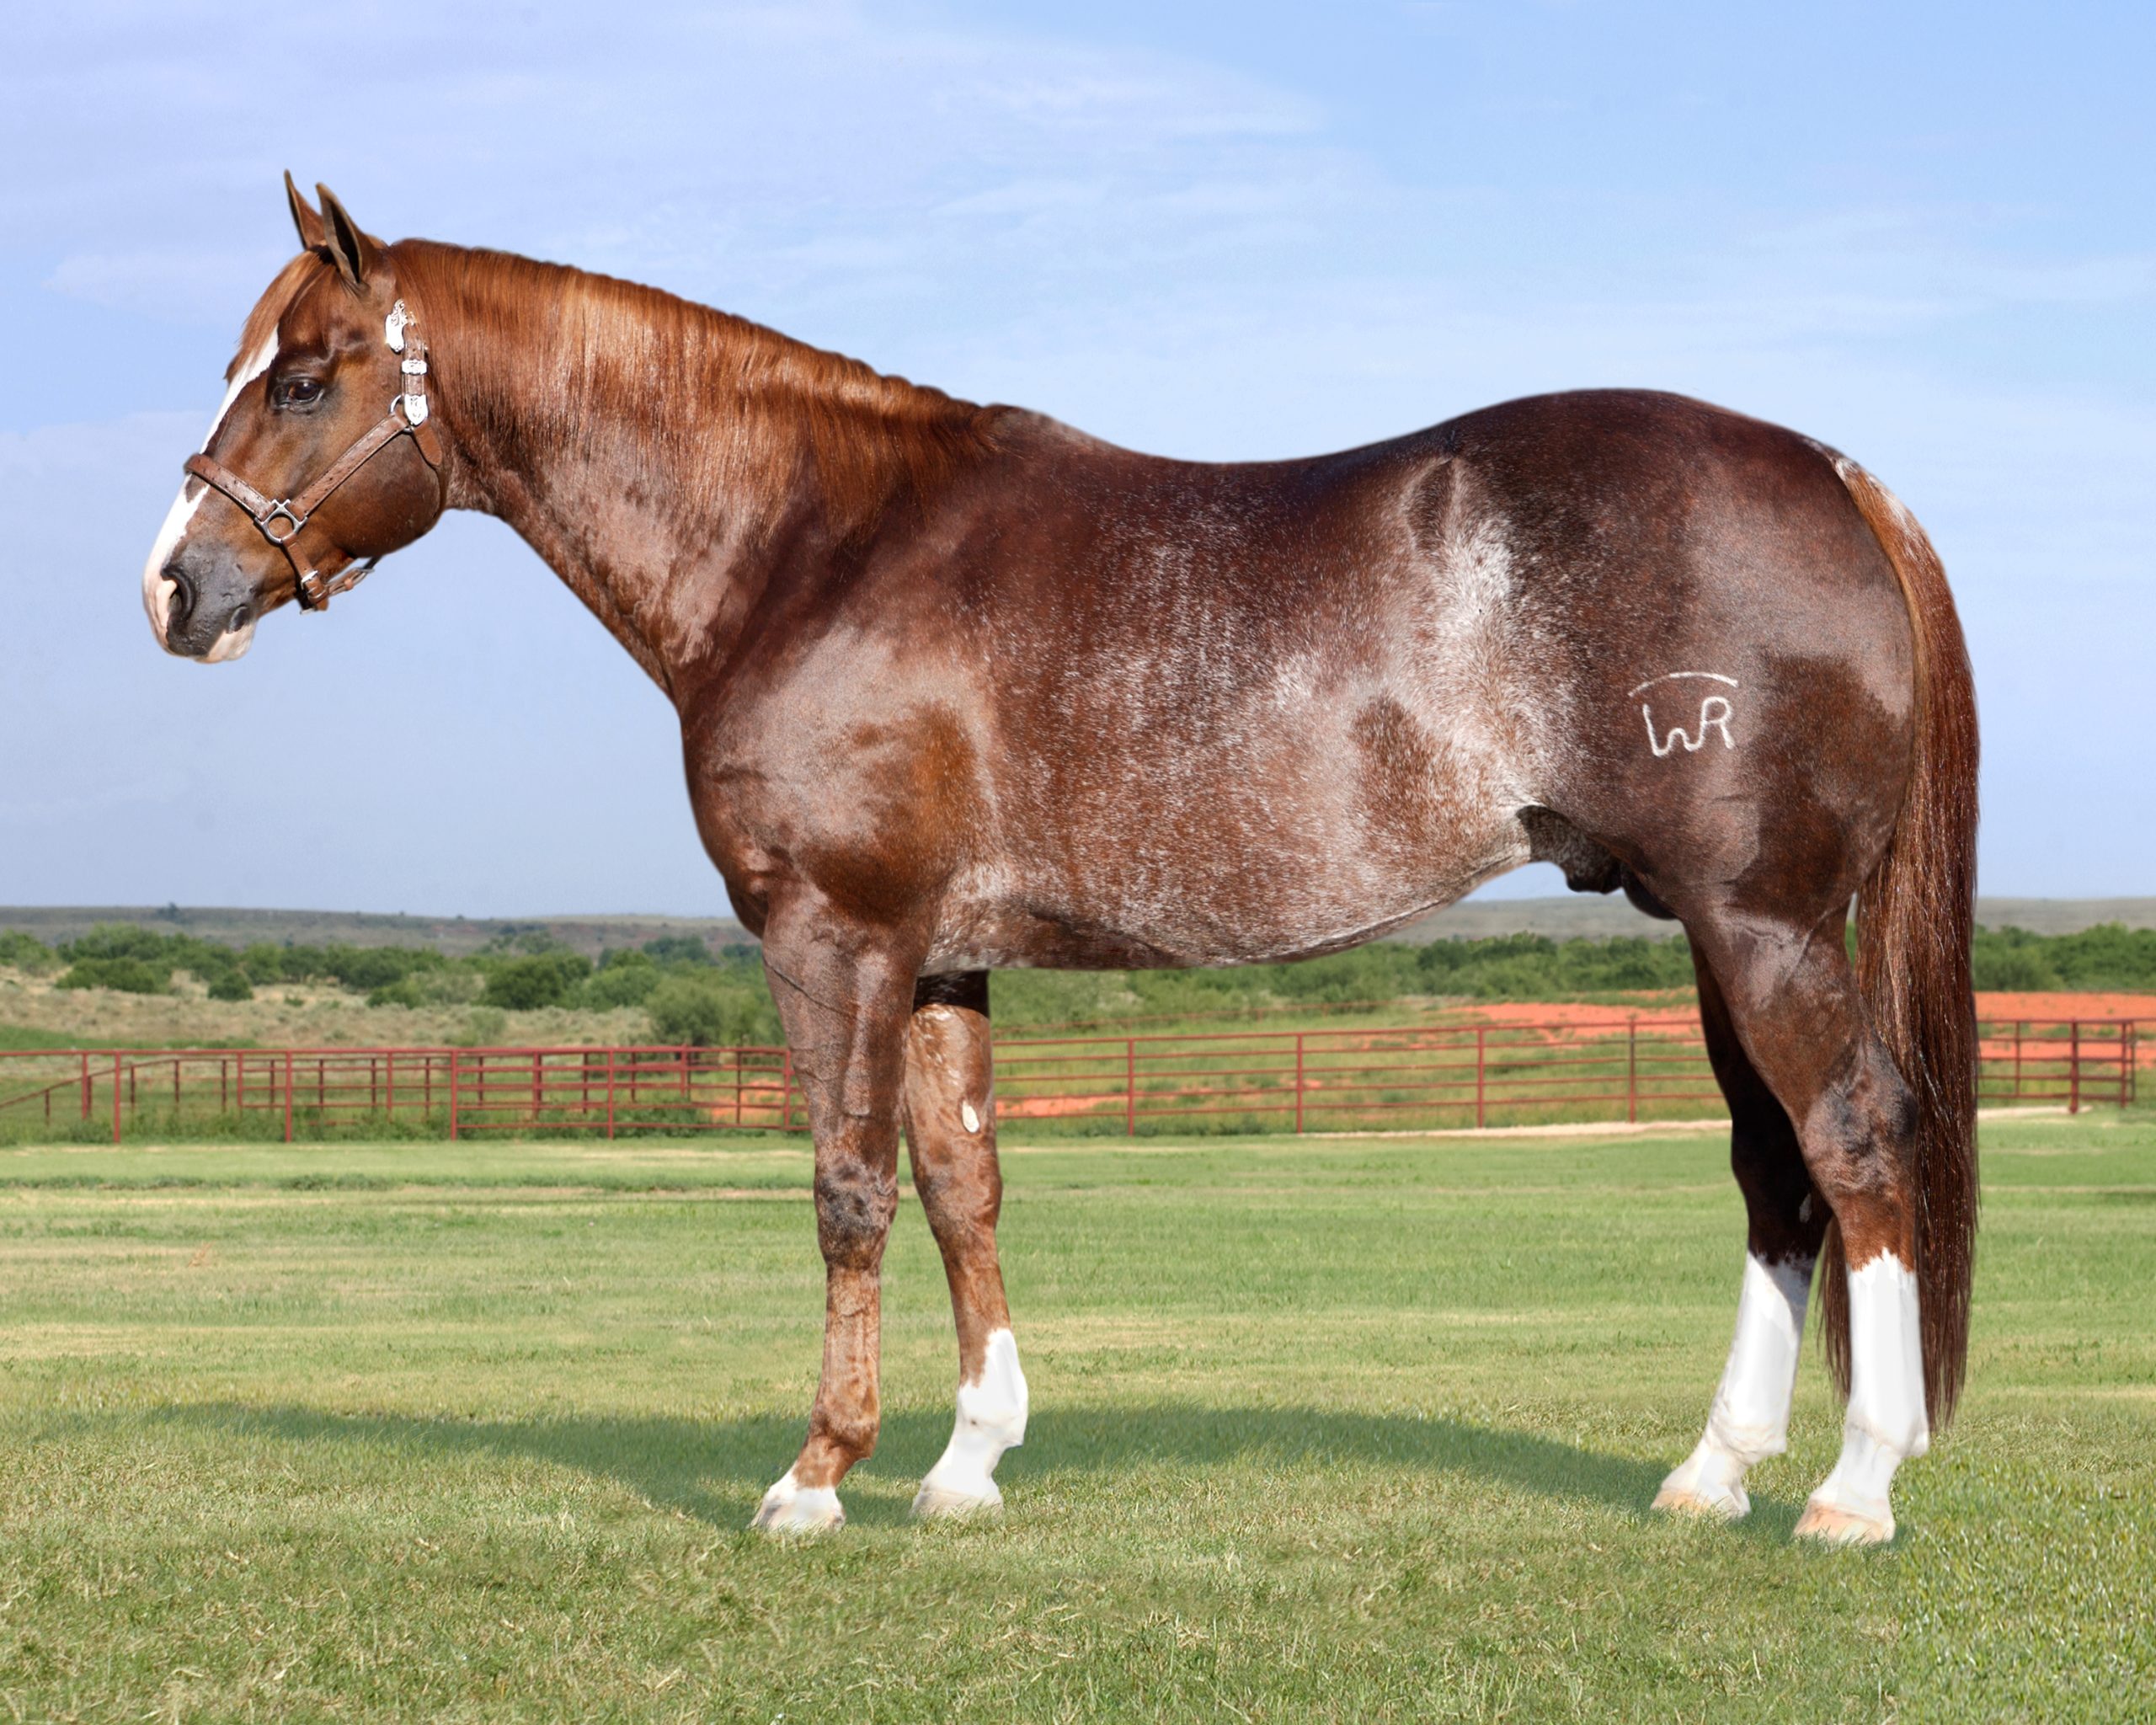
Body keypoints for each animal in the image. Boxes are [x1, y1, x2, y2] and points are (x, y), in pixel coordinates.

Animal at [142, 178, 1977, 1544]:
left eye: (304, 375)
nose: (175, 585)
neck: (812, 545)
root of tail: (1826, 471)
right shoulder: (941, 952)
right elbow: (962, 1182)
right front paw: (965, 1461)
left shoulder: (833, 936)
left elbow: (847, 1186)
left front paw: (816, 1474)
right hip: (1714, 929)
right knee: (1773, 1176)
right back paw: (1710, 1473)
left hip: (1762, 925)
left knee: (1855, 1141)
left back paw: (1855, 1484)